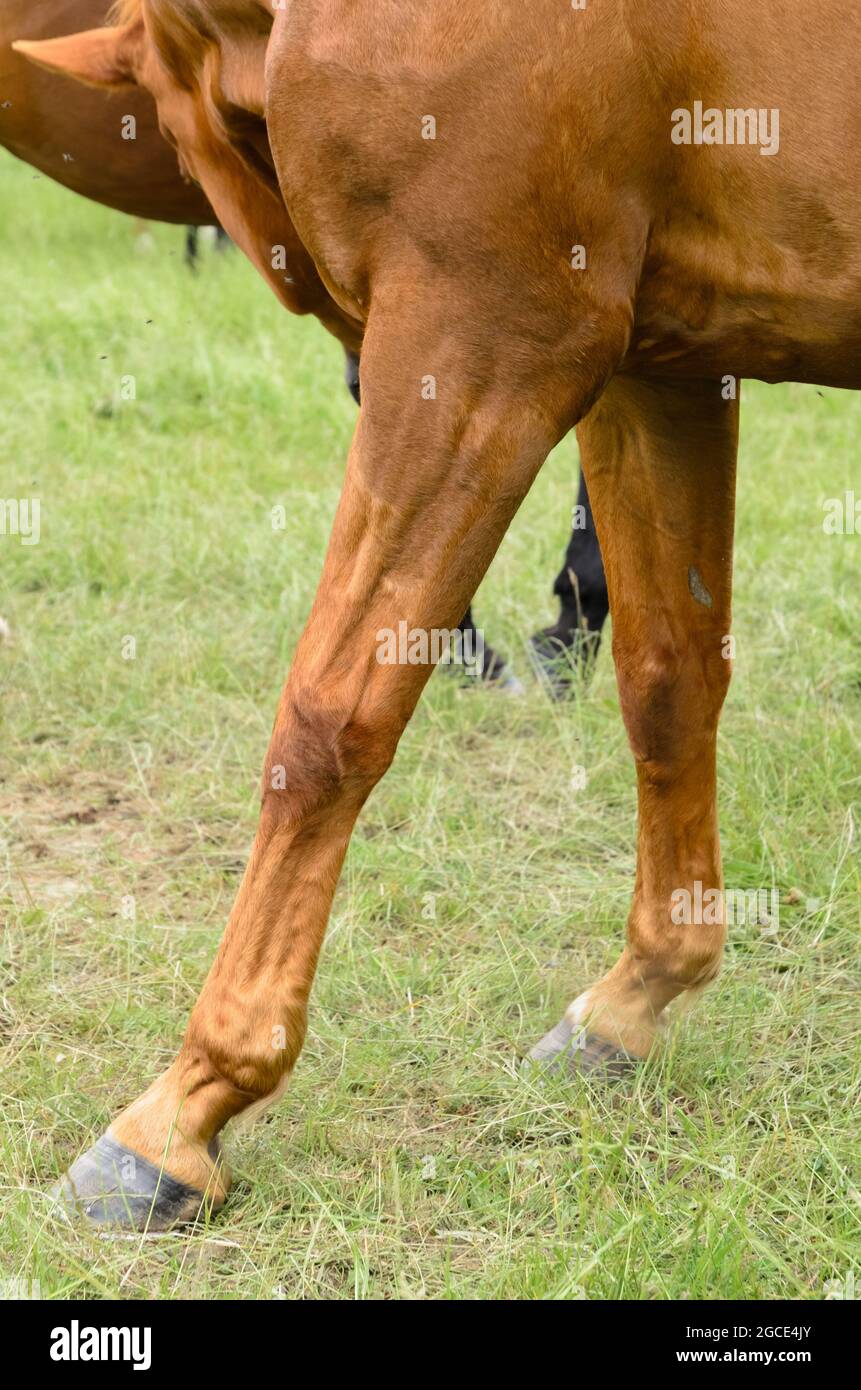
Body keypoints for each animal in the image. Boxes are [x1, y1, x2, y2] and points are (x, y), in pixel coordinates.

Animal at [16, 0, 856, 1234]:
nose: (329, 314)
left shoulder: (485, 334)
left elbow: (328, 724)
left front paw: (184, 1110)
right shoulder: (661, 362)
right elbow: (668, 675)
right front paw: (638, 994)